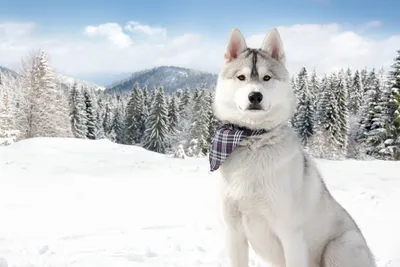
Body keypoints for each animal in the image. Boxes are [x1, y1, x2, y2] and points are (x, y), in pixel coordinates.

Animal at [211, 28, 376, 266]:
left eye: (267, 77)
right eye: (241, 77)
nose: (255, 96)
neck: (253, 141)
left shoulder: (290, 235)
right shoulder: (234, 233)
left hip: (340, 246)